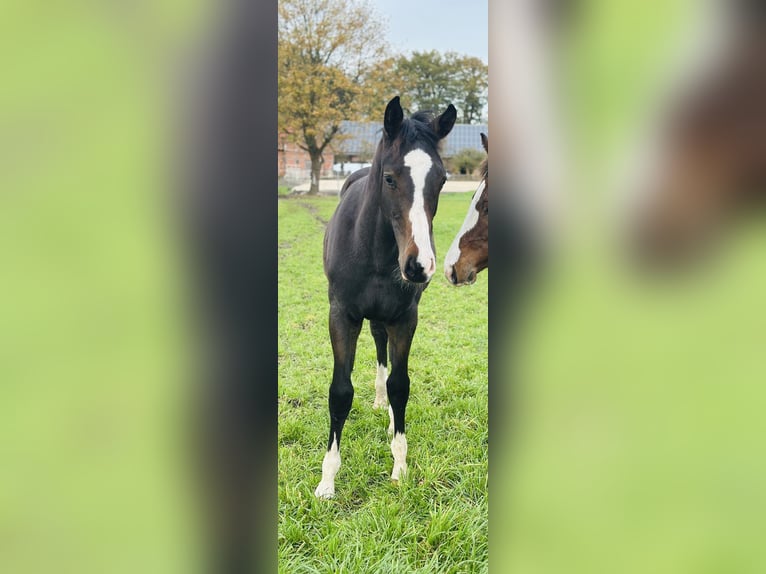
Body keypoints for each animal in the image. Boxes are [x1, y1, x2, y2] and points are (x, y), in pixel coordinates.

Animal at [315, 96, 456, 499]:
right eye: (390, 178)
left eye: (442, 180)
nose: (419, 265)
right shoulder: (341, 315)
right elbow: (340, 391)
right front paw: (327, 481)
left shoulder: (405, 317)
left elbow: (401, 385)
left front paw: (400, 465)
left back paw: (389, 413)